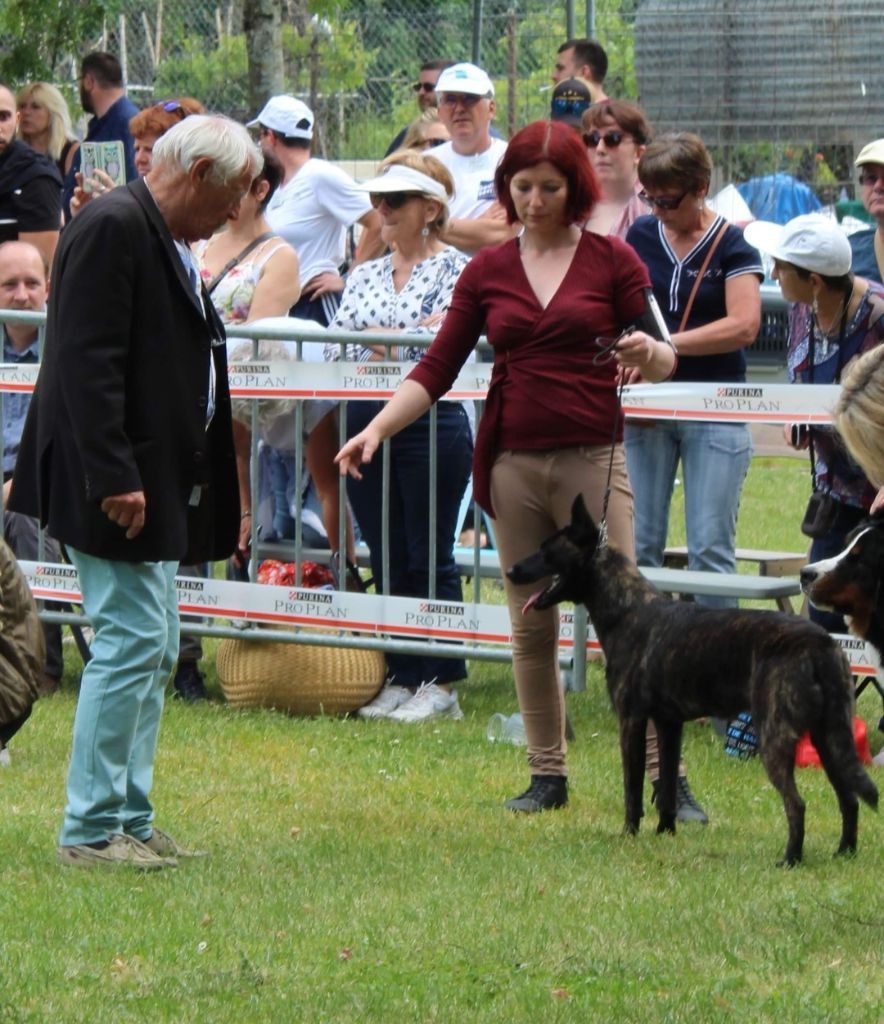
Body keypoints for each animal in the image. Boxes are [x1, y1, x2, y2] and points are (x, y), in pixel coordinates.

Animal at [508, 495, 872, 864]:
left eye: (546, 550)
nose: (511, 571)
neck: (627, 610)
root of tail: (820, 643)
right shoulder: (669, 725)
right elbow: (667, 785)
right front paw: (665, 832)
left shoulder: (632, 721)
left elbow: (632, 787)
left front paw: (629, 833)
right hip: (830, 737)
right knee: (849, 798)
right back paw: (844, 852)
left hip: (776, 735)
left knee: (796, 804)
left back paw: (790, 859)